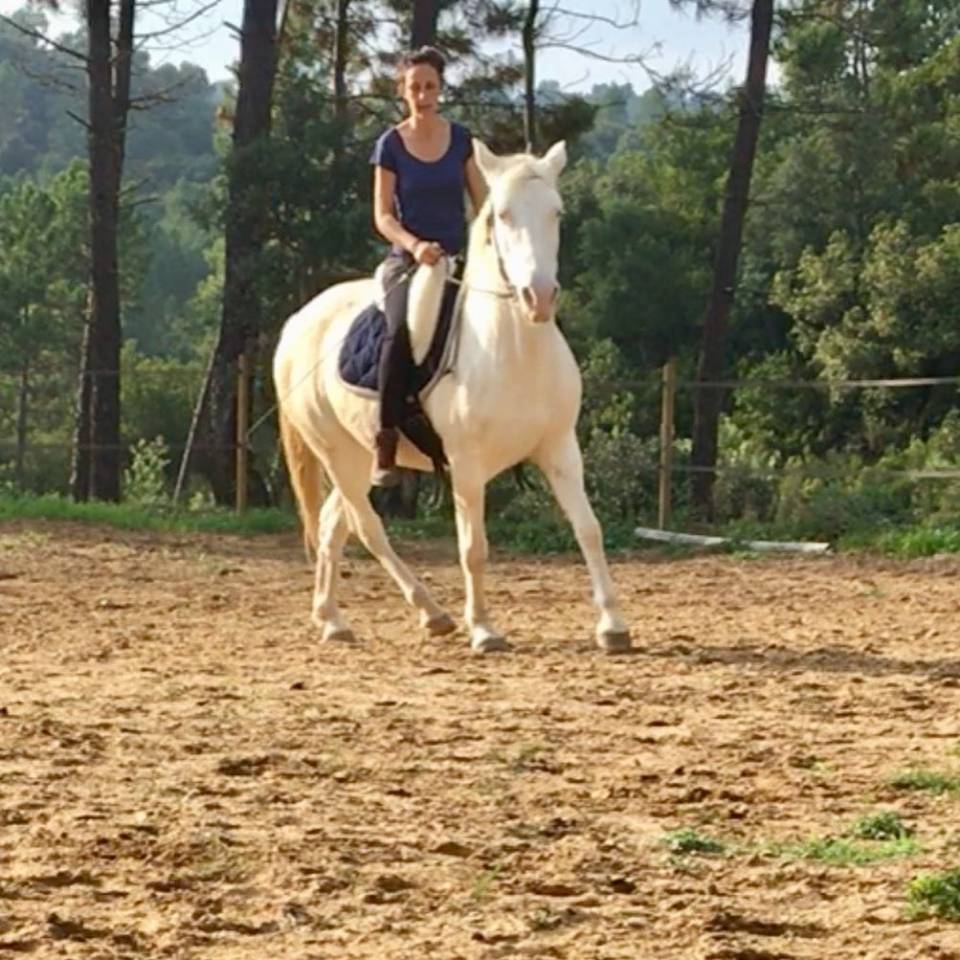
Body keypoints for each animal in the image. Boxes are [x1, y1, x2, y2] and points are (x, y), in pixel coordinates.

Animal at [273, 139, 631, 654]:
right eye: (502, 215)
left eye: (556, 212)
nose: (539, 297)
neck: (514, 349)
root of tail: (299, 322)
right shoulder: (466, 464)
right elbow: (473, 547)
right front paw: (483, 629)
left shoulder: (561, 449)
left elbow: (589, 529)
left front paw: (613, 626)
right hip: (336, 453)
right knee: (367, 527)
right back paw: (431, 612)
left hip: (359, 456)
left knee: (332, 524)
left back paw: (335, 620)